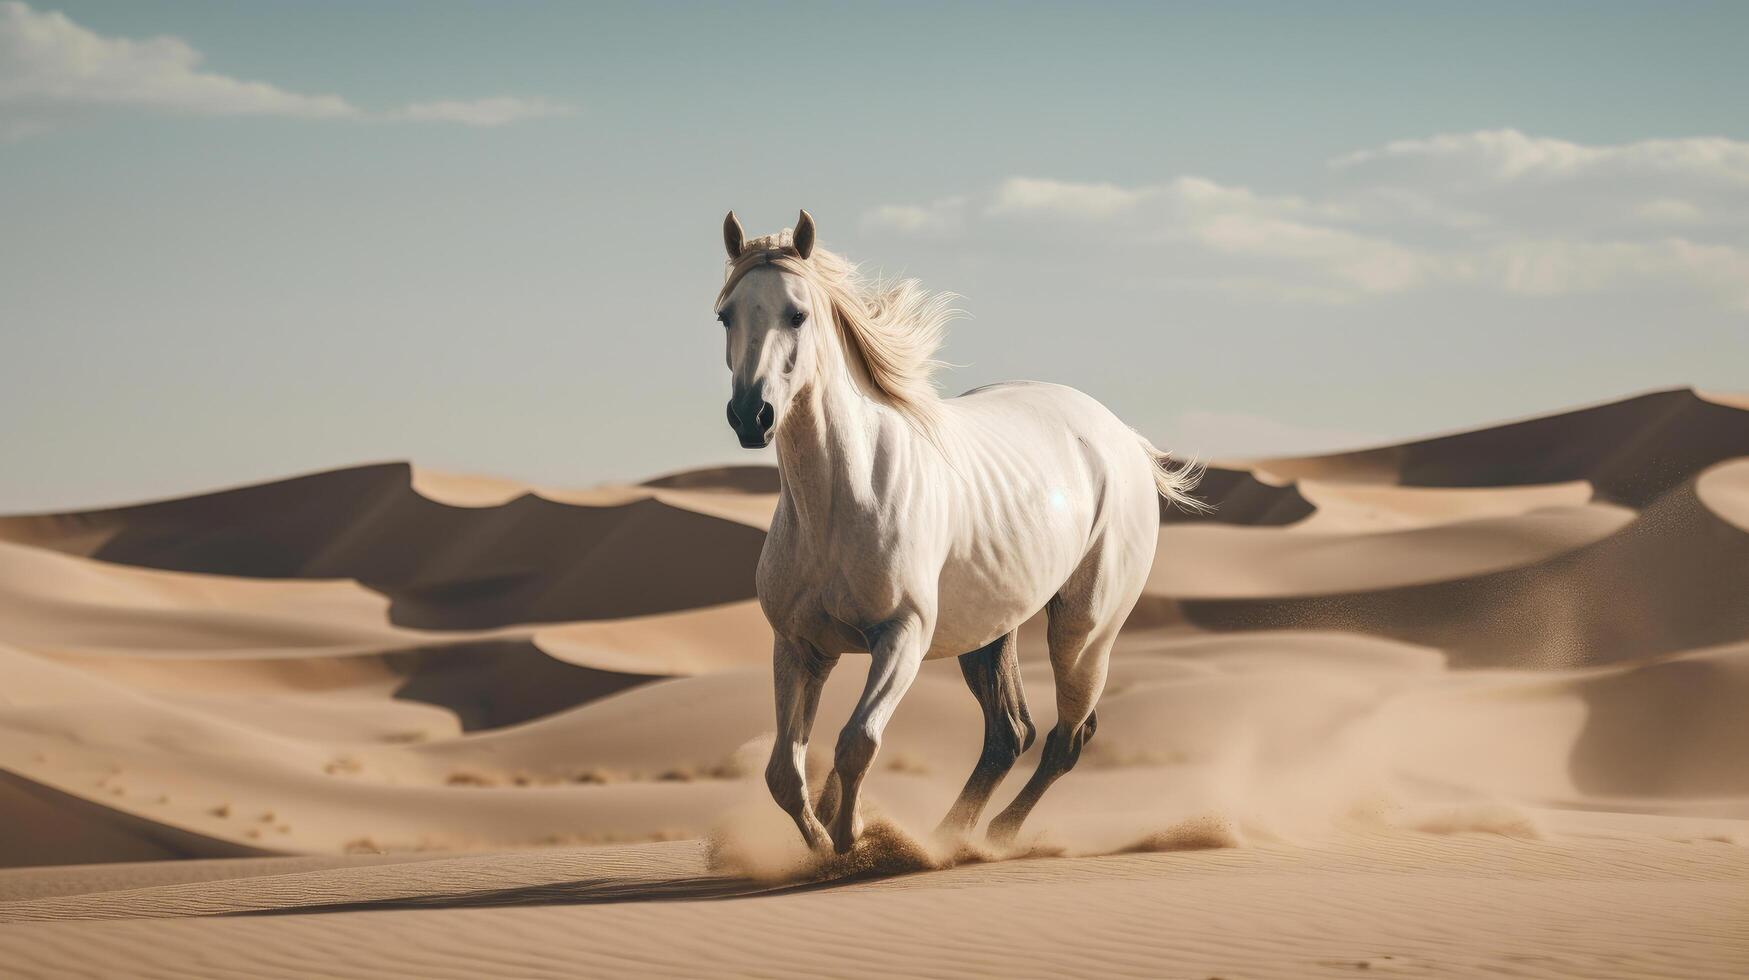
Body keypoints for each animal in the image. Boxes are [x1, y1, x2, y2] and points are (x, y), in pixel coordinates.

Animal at [710, 212, 1203, 850]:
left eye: (798, 314)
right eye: (726, 315)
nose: (752, 416)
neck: (837, 502)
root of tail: (1124, 438)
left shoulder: (902, 637)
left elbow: (856, 743)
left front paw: (853, 841)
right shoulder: (799, 647)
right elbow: (783, 774)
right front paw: (825, 844)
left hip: (1084, 632)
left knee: (1068, 737)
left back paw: (991, 836)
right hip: (990, 632)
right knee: (1010, 734)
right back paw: (952, 835)